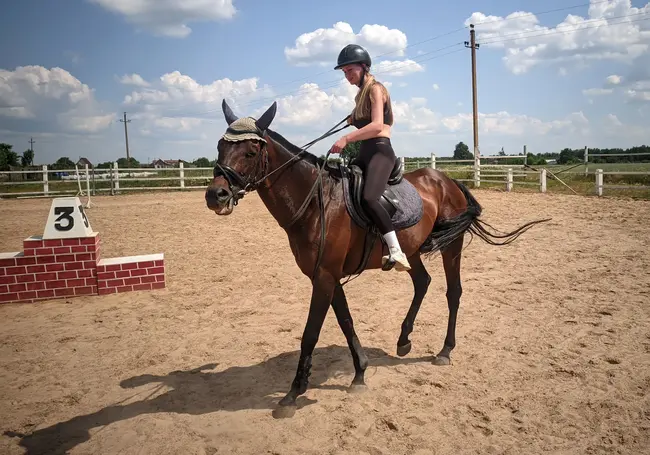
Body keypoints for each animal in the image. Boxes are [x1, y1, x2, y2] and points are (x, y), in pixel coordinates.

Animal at [205, 100, 548, 420]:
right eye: (220, 147)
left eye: (251, 151)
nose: (215, 196)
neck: (317, 201)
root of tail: (446, 180)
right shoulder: (326, 276)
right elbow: (346, 322)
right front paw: (359, 373)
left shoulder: (325, 277)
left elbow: (310, 333)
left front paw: (293, 393)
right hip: (413, 250)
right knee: (423, 282)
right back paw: (404, 339)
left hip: (452, 247)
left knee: (453, 292)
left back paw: (445, 350)